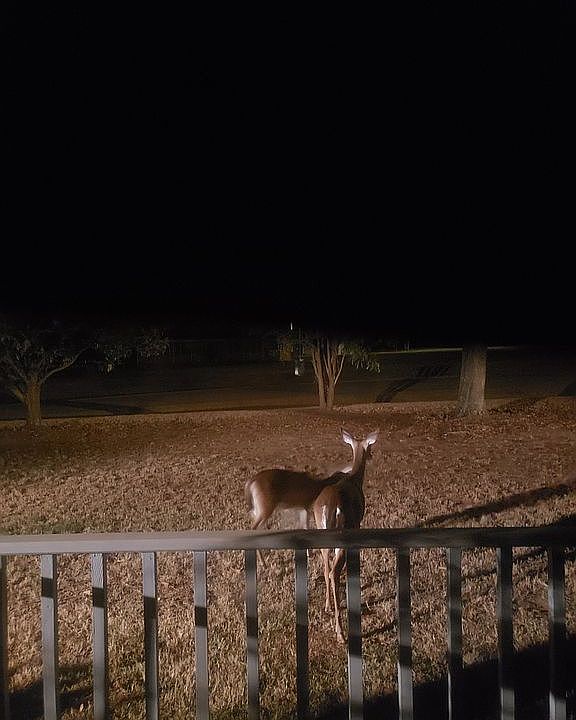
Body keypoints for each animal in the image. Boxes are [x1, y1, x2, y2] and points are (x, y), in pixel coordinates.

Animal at [312, 428, 379, 643]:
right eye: (370, 447)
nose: (371, 455)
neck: (355, 480)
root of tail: (329, 507)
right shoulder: (357, 525)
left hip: (321, 529)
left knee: (325, 566)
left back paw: (327, 606)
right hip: (342, 531)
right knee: (333, 572)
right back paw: (340, 632)